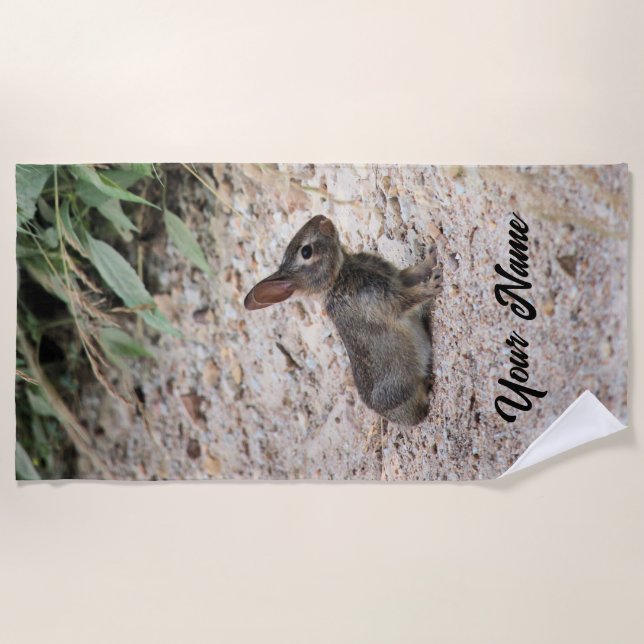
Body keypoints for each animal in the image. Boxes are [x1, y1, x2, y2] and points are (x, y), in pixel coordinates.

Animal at [244, 215, 442, 426]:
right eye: (306, 252)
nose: (321, 219)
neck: (336, 278)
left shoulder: (396, 278)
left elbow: (416, 272)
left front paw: (432, 256)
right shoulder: (382, 299)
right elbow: (408, 299)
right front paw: (434, 284)